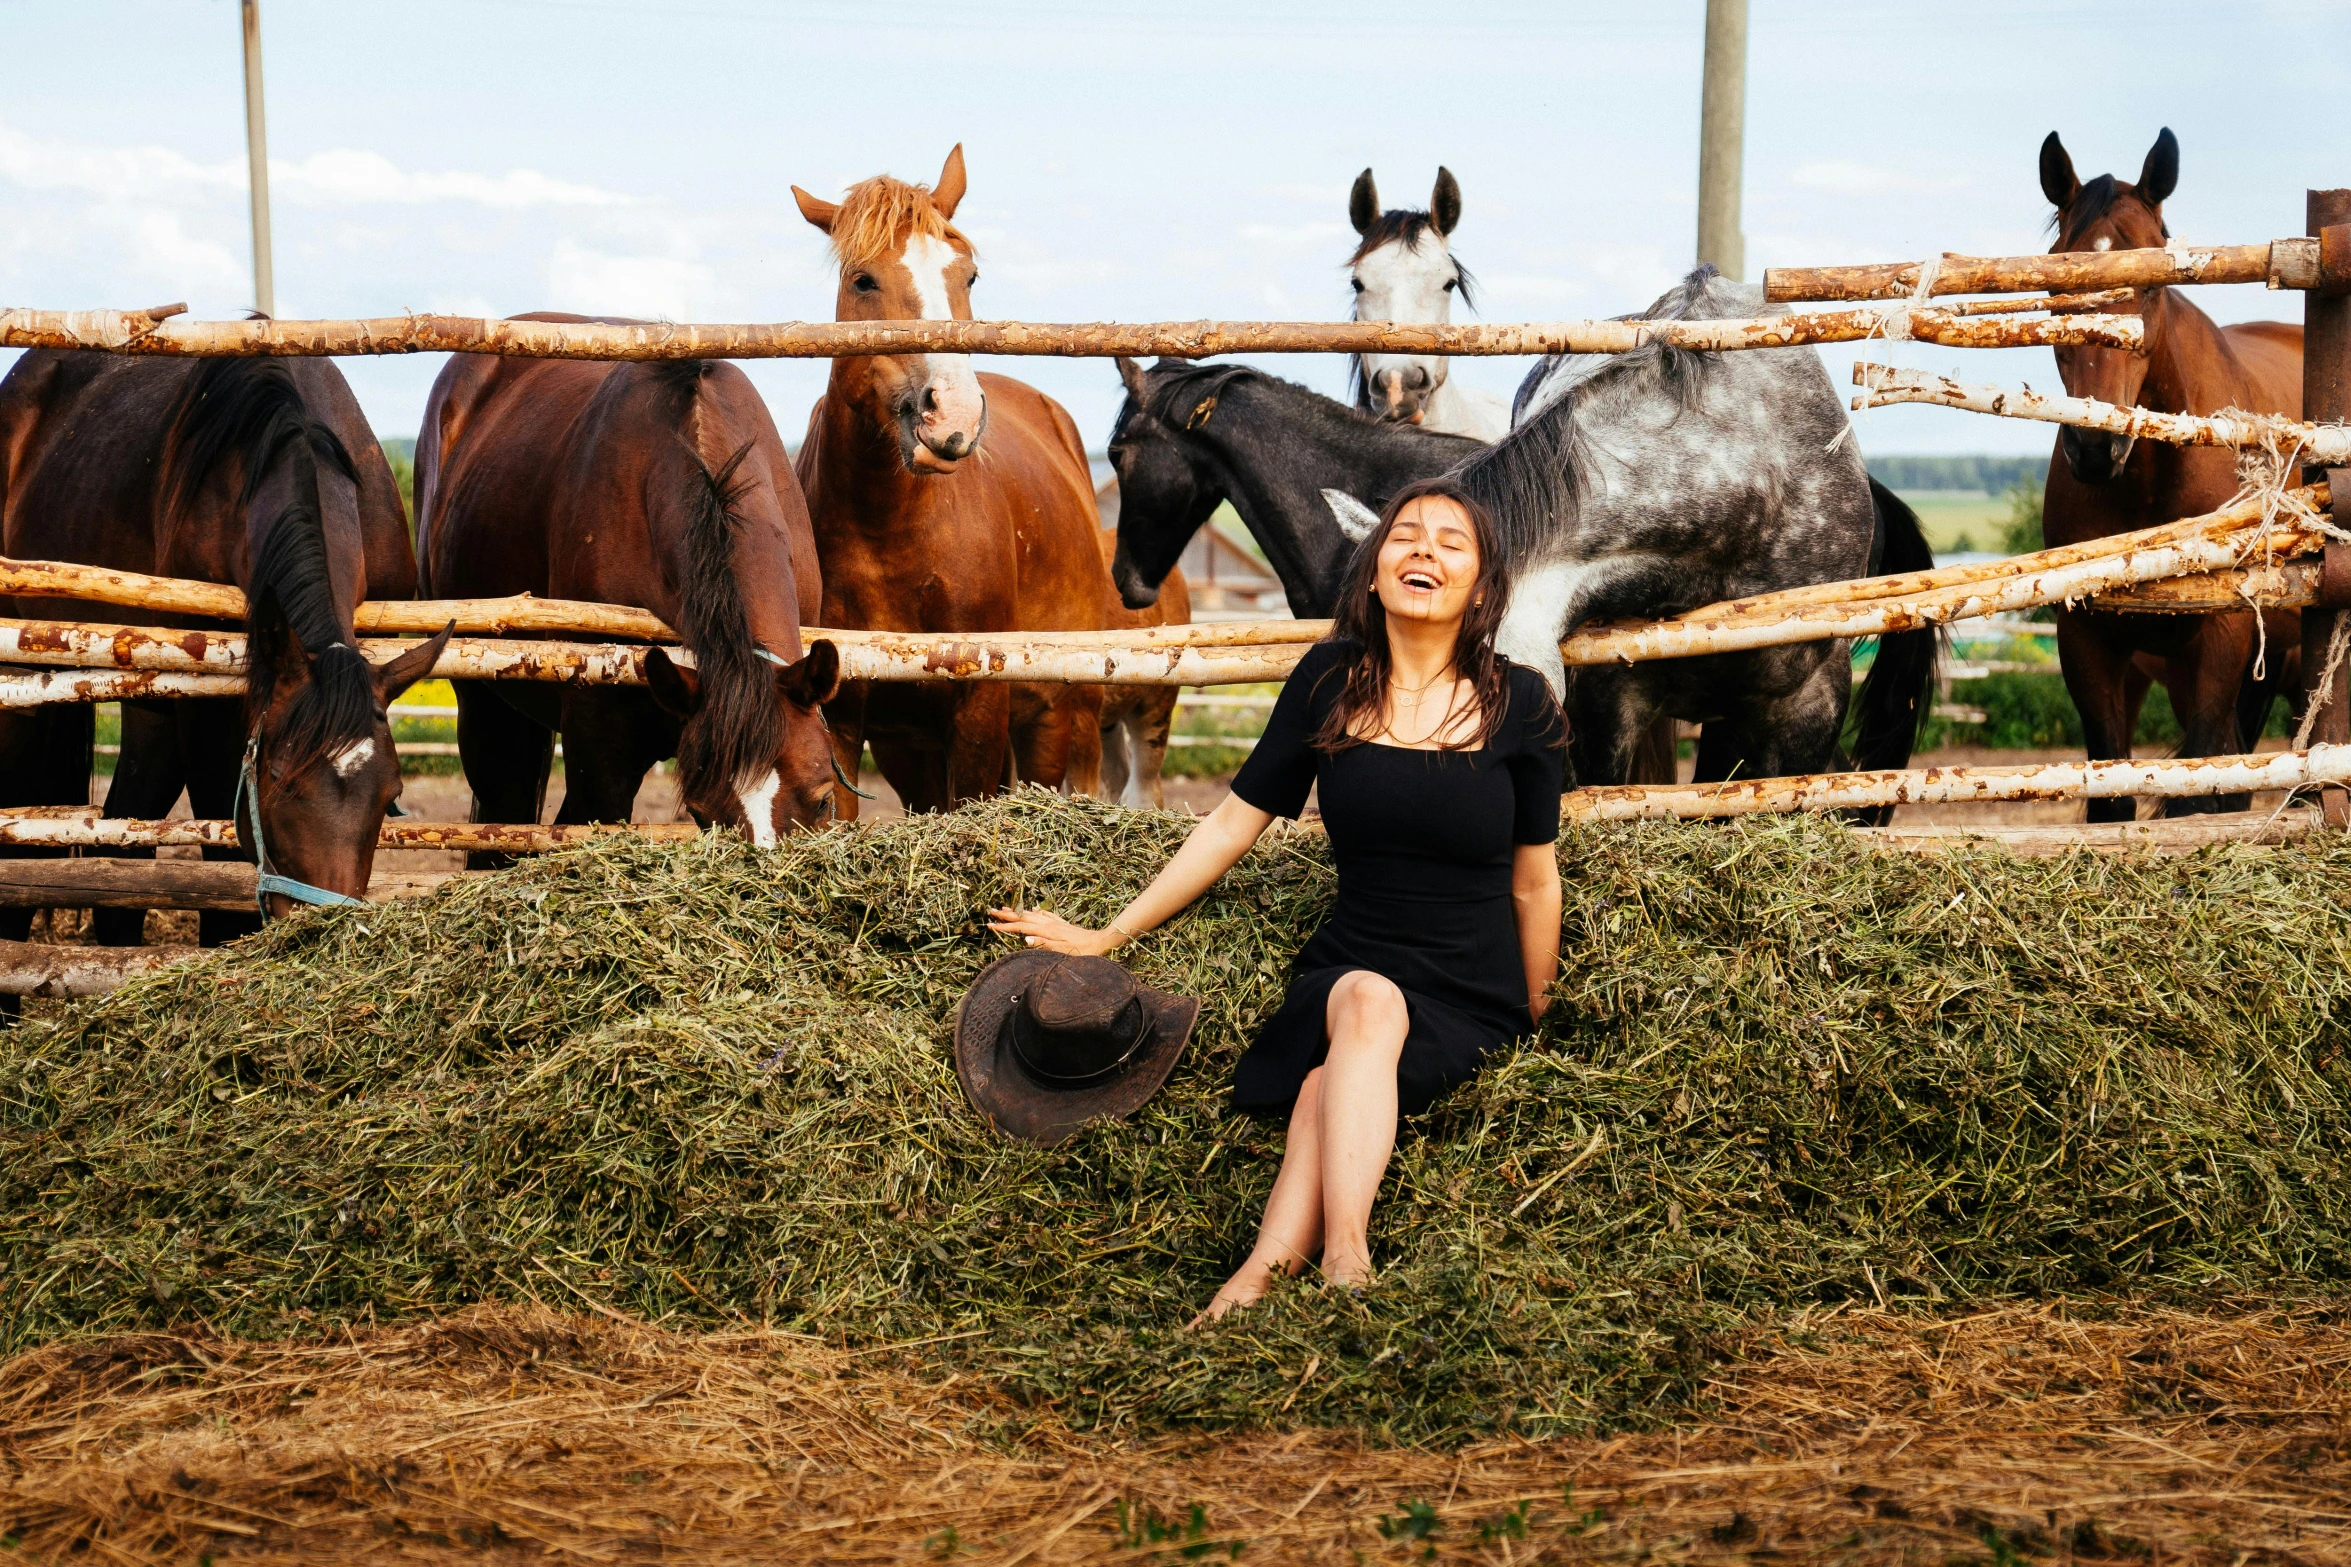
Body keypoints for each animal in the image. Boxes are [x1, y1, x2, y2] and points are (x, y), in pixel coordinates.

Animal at [0, 352, 446, 958]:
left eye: (391, 793)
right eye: (280, 780)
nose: (323, 932)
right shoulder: (206, 710)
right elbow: (219, 856)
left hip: (150, 711)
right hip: (28, 684)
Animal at [789, 146, 1109, 822]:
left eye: (969, 277)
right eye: (863, 280)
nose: (954, 417)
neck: (893, 531)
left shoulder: (980, 706)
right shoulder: (844, 713)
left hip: (1061, 716)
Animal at [2031, 128, 2303, 822]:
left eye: (2152, 288)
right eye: (2054, 283)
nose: (2094, 446)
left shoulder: (2223, 634)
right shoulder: (2089, 640)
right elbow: (2112, 792)